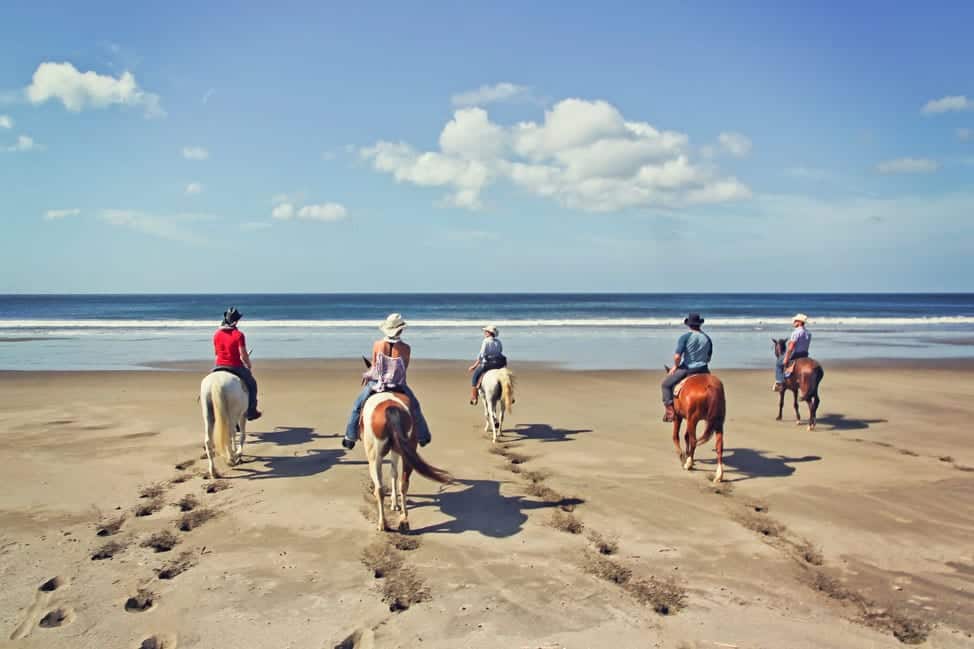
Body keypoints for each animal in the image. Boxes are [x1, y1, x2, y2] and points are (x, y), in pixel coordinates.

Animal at [360, 390, 452, 532]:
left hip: (375, 457)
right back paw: (404, 520)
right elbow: (394, 473)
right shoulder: (396, 451)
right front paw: (395, 504)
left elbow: (392, 474)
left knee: (380, 489)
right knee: (403, 484)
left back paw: (382, 523)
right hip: (408, 452)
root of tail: (391, 408)